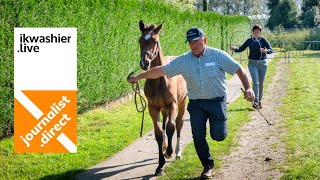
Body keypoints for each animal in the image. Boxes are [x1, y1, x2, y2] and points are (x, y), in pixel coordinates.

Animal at [138, 20, 188, 176]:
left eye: (155, 41)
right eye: (140, 40)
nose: (145, 63)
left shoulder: (173, 105)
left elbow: (172, 127)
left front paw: (170, 153)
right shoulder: (153, 108)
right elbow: (159, 133)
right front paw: (160, 165)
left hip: (182, 102)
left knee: (178, 123)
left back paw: (177, 152)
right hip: (163, 109)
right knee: (165, 124)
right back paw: (166, 147)